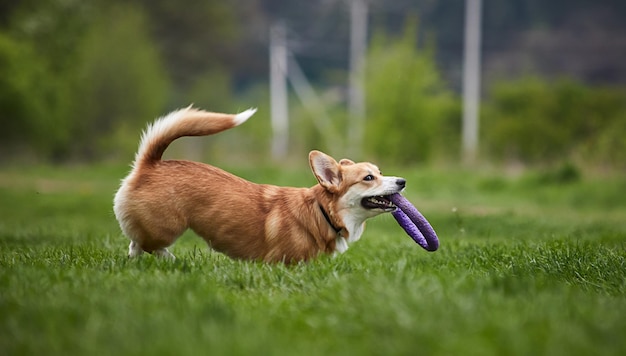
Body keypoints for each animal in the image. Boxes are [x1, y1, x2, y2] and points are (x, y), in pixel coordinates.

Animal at [112, 107, 408, 262]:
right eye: (368, 178)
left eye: (380, 172)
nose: (402, 181)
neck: (322, 212)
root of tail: (150, 164)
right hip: (166, 228)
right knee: (143, 243)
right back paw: (171, 260)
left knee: (136, 246)